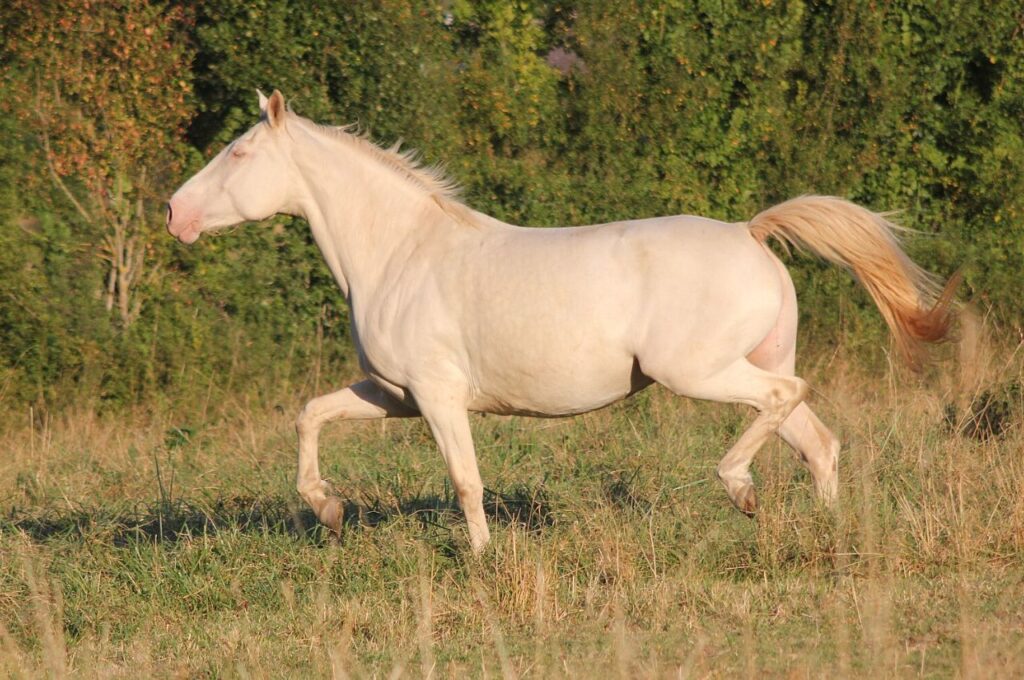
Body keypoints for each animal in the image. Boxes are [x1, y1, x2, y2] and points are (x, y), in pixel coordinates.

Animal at [167, 90, 957, 552]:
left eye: (238, 152)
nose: (174, 213)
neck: (401, 251)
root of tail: (749, 233)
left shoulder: (438, 398)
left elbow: (466, 481)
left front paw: (482, 560)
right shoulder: (394, 396)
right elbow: (310, 415)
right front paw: (327, 510)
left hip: (699, 372)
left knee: (786, 406)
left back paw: (740, 489)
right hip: (750, 363)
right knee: (818, 441)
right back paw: (824, 531)